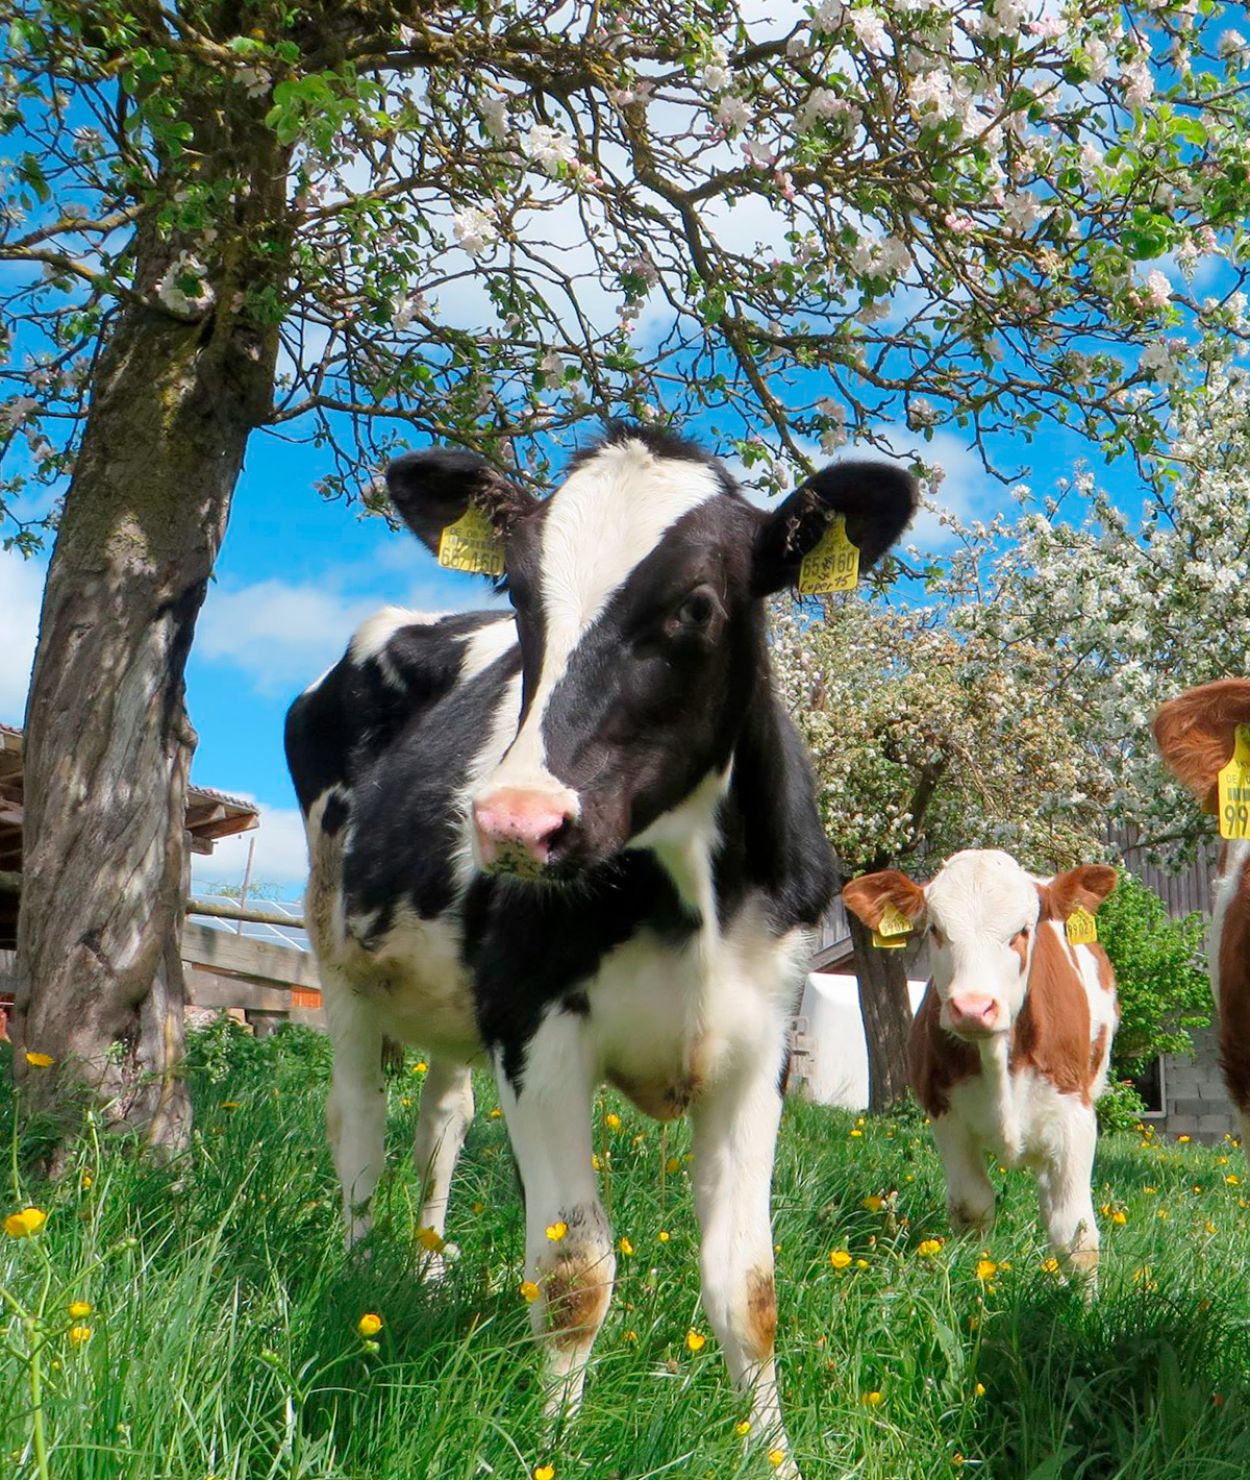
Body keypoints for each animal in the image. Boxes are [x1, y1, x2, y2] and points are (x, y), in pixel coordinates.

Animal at [284, 424, 917, 1466]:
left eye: (697, 605)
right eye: (518, 592)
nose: (514, 822)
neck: (687, 896)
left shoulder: (759, 1049)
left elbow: (749, 1291)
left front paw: (773, 1456)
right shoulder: (536, 1029)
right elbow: (575, 1271)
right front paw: (554, 1445)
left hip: (452, 1002)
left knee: (439, 1126)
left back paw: (426, 1275)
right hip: (338, 959)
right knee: (358, 1127)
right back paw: (361, 1275)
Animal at [842, 850, 1119, 1281]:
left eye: (1022, 931)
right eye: (935, 929)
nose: (973, 1007)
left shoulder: (1076, 1118)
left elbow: (1076, 1236)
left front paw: (1080, 1299)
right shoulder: (946, 1116)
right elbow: (973, 1209)